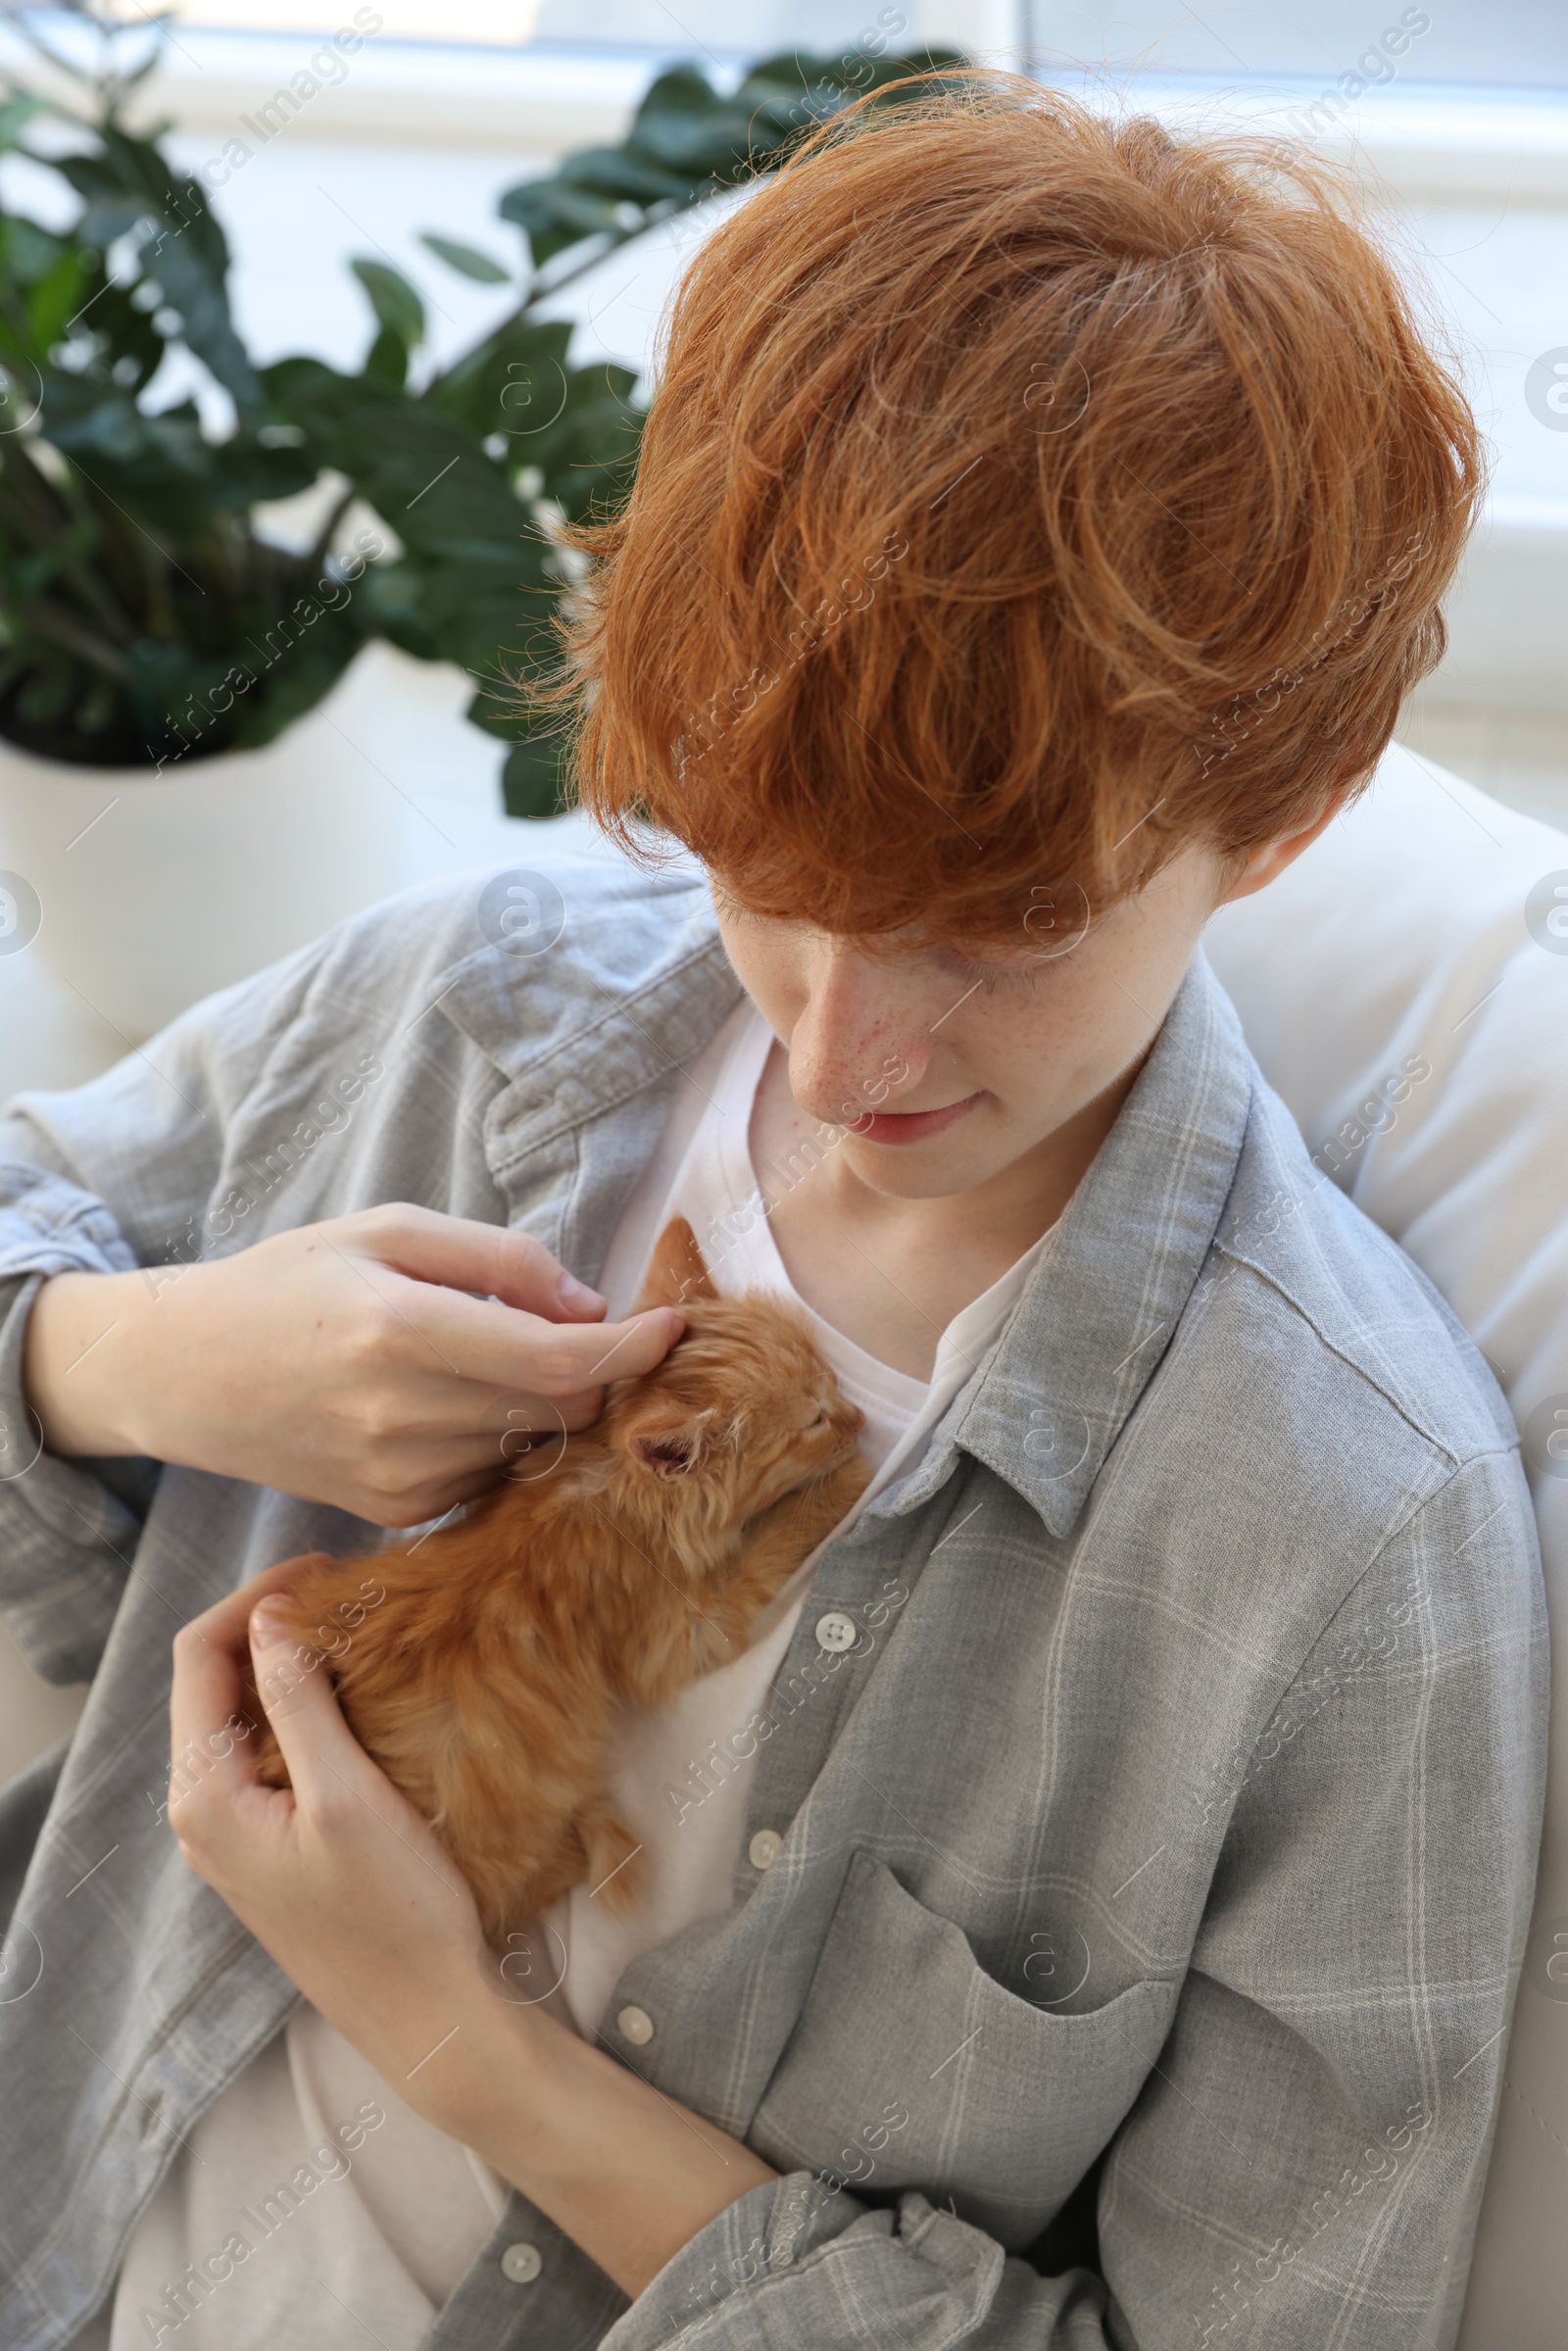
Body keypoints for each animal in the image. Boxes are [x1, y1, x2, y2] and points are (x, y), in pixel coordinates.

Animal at [256, 1222, 869, 1936]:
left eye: (834, 1384)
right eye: (815, 1421)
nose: (862, 1420)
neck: (594, 1477)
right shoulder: (675, 1633)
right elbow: (769, 1549)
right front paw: (846, 1482)